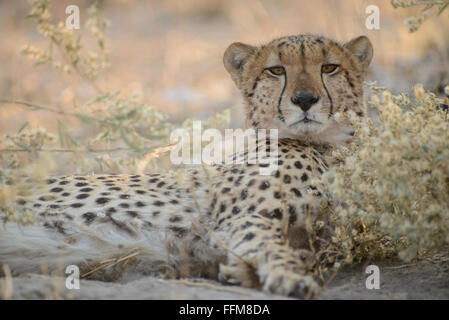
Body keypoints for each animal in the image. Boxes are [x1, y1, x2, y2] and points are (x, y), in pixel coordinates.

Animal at [0, 33, 372, 298]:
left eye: (329, 68)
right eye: (276, 70)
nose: (305, 100)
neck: (324, 146)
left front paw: (243, 272)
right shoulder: (241, 219)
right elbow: (272, 248)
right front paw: (288, 277)